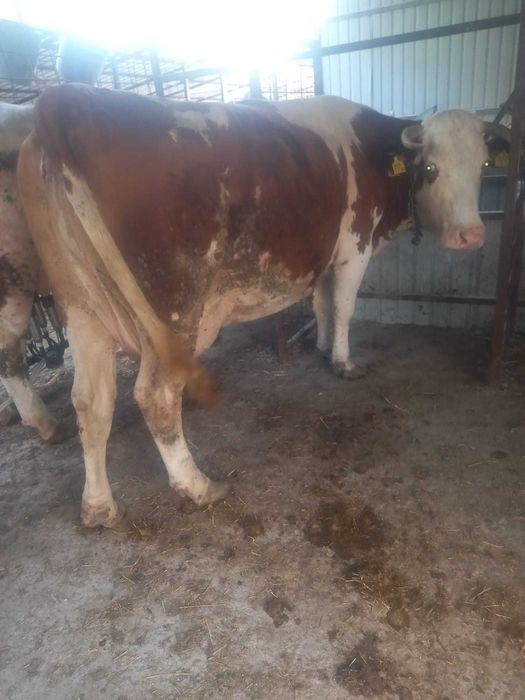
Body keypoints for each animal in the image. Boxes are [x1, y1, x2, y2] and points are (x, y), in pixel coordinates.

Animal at [16, 84, 509, 527]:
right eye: (430, 168)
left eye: (484, 165)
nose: (471, 236)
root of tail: (66, 102)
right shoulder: (354, 247)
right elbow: (344, 307)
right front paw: (344, 362)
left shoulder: (321, 254)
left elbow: (321, 304)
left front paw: (322, 347)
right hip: (173, 310)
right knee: (156, 395)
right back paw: (198, 485)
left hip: (81, 308)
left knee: (90, 402)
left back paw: (99, 507)